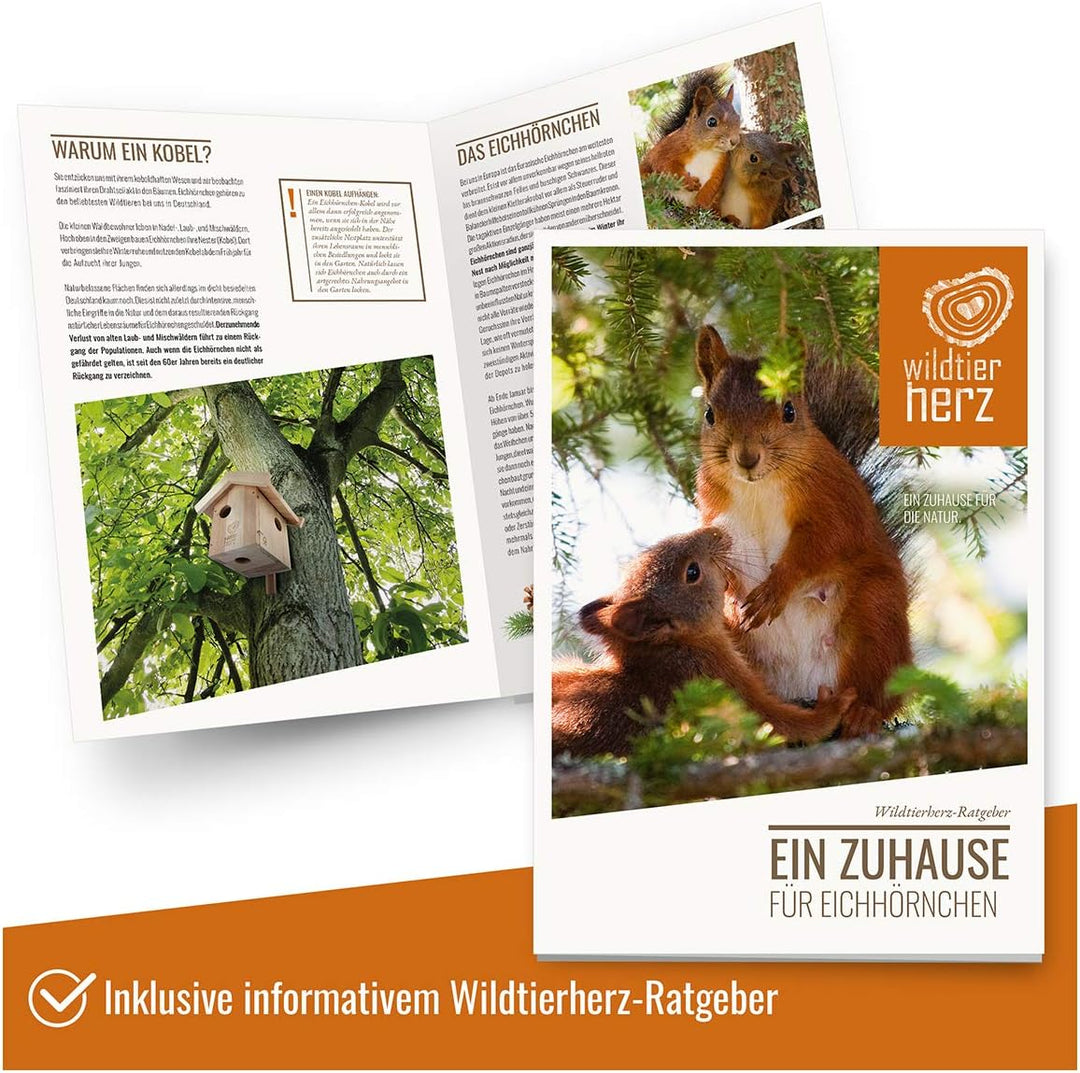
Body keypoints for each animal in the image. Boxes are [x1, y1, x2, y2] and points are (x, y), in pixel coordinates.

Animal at [552, 527, 856, 758]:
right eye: (692, 572)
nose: (716, 531)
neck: (672, 648)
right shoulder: (715, 678)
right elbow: (775, 721)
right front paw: (832, 706)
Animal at [639, 70, 741, 210]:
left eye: (738, 118)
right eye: (711, 122)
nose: (735, 141)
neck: (706, 150)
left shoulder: (721, 164)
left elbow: (713, 184)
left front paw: (700, 204)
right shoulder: (670, 147)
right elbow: (665, 165)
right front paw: (690, 182)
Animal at [694, 325, 912, 738]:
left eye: (789, 411)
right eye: (710, 414)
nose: (747, 458)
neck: (758, 487)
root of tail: (808, 686)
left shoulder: (833, 503)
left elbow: (822, 544)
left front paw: (774, 590)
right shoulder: (714, 515)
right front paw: (725, 591)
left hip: (877, 614)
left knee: (882, 689)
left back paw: (863, 713)